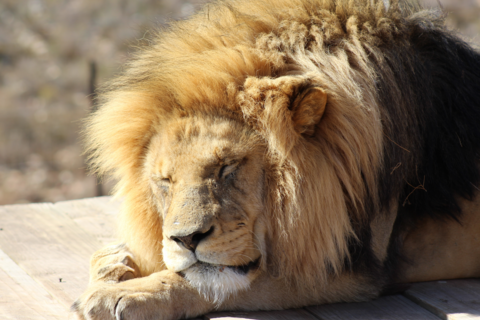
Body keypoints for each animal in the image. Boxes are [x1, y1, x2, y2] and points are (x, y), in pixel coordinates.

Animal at [71, 0, 480, 318]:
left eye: (227, 167)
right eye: (164, 182)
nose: (187, 239)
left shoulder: (352, 268)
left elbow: (216, 281)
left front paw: (126, 292)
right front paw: (113, 263)